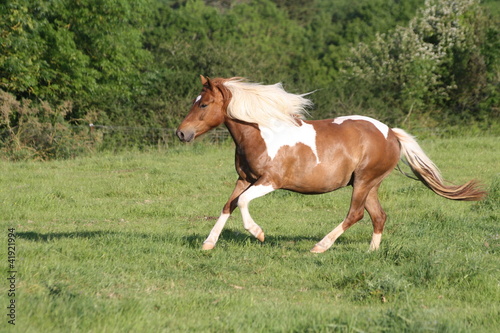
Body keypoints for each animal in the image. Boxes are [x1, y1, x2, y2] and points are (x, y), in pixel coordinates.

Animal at [176, 75, 484, 252]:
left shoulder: (269, 182)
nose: (181, 133)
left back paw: (320, 246)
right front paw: (208, 243)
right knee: (378, 216)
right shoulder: (244, 179)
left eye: (203, 104)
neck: (260, 132)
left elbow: (242, 203)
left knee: (356, 215)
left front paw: (259, 234)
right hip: (368, 184)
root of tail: (390, 133)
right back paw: (371, 252)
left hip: (363, 182)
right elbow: (228, 205)